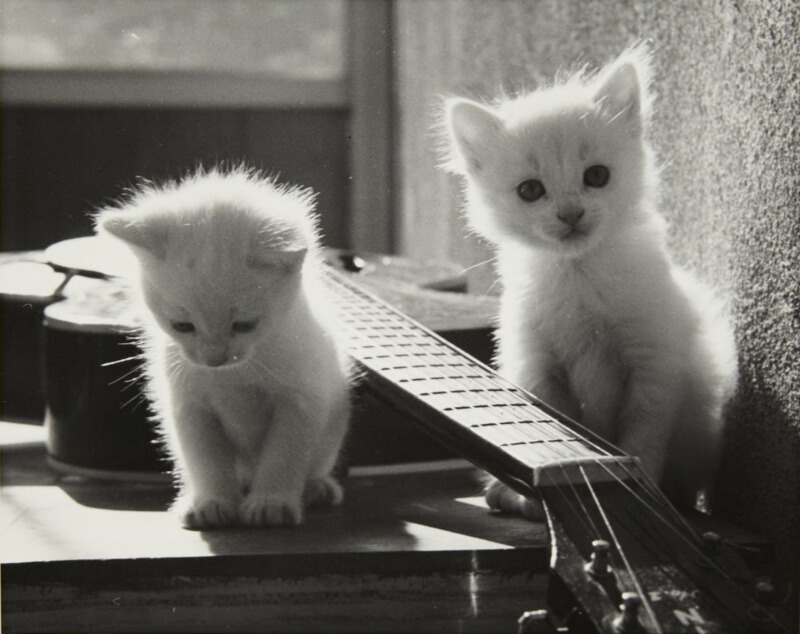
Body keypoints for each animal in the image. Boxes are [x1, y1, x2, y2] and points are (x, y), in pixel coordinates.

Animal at [96, 168, 350, 528]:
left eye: (244, 325)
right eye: (182, 326)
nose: (214, 358)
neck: (236, 375)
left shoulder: (302, 399)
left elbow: (284, 454)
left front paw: (271, 502)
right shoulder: (189, 405)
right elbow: (205, 458)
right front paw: (212, 502)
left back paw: (316, 487)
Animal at [444, 47, 736, 516]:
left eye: (596, 176)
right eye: (530, 190)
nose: (570, 213)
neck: (578, 276)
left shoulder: (653, 365)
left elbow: (643, 439)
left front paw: (646, 493)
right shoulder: (538, 367)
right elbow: (560, 432)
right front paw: (545, 490)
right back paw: (507, 495)